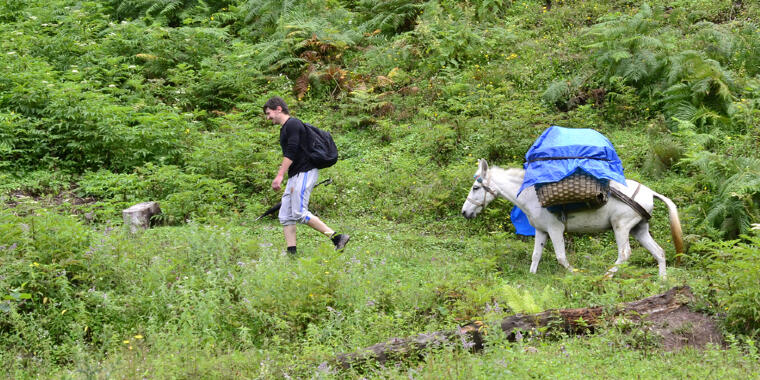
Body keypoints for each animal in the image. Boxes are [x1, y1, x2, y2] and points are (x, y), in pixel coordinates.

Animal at [460, 159, 684, 278]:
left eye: (476, 187)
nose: (464, 212)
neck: (532, 196)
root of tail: (650, 192)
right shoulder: (541, 231)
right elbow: (536, 256)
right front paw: (531, 278)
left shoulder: (555, 230)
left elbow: (561, 257)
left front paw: (575, 274)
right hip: (640, 229)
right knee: (659, 252)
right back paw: (662, 280)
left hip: (621, 226)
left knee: (625, 254)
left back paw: (606, 276)